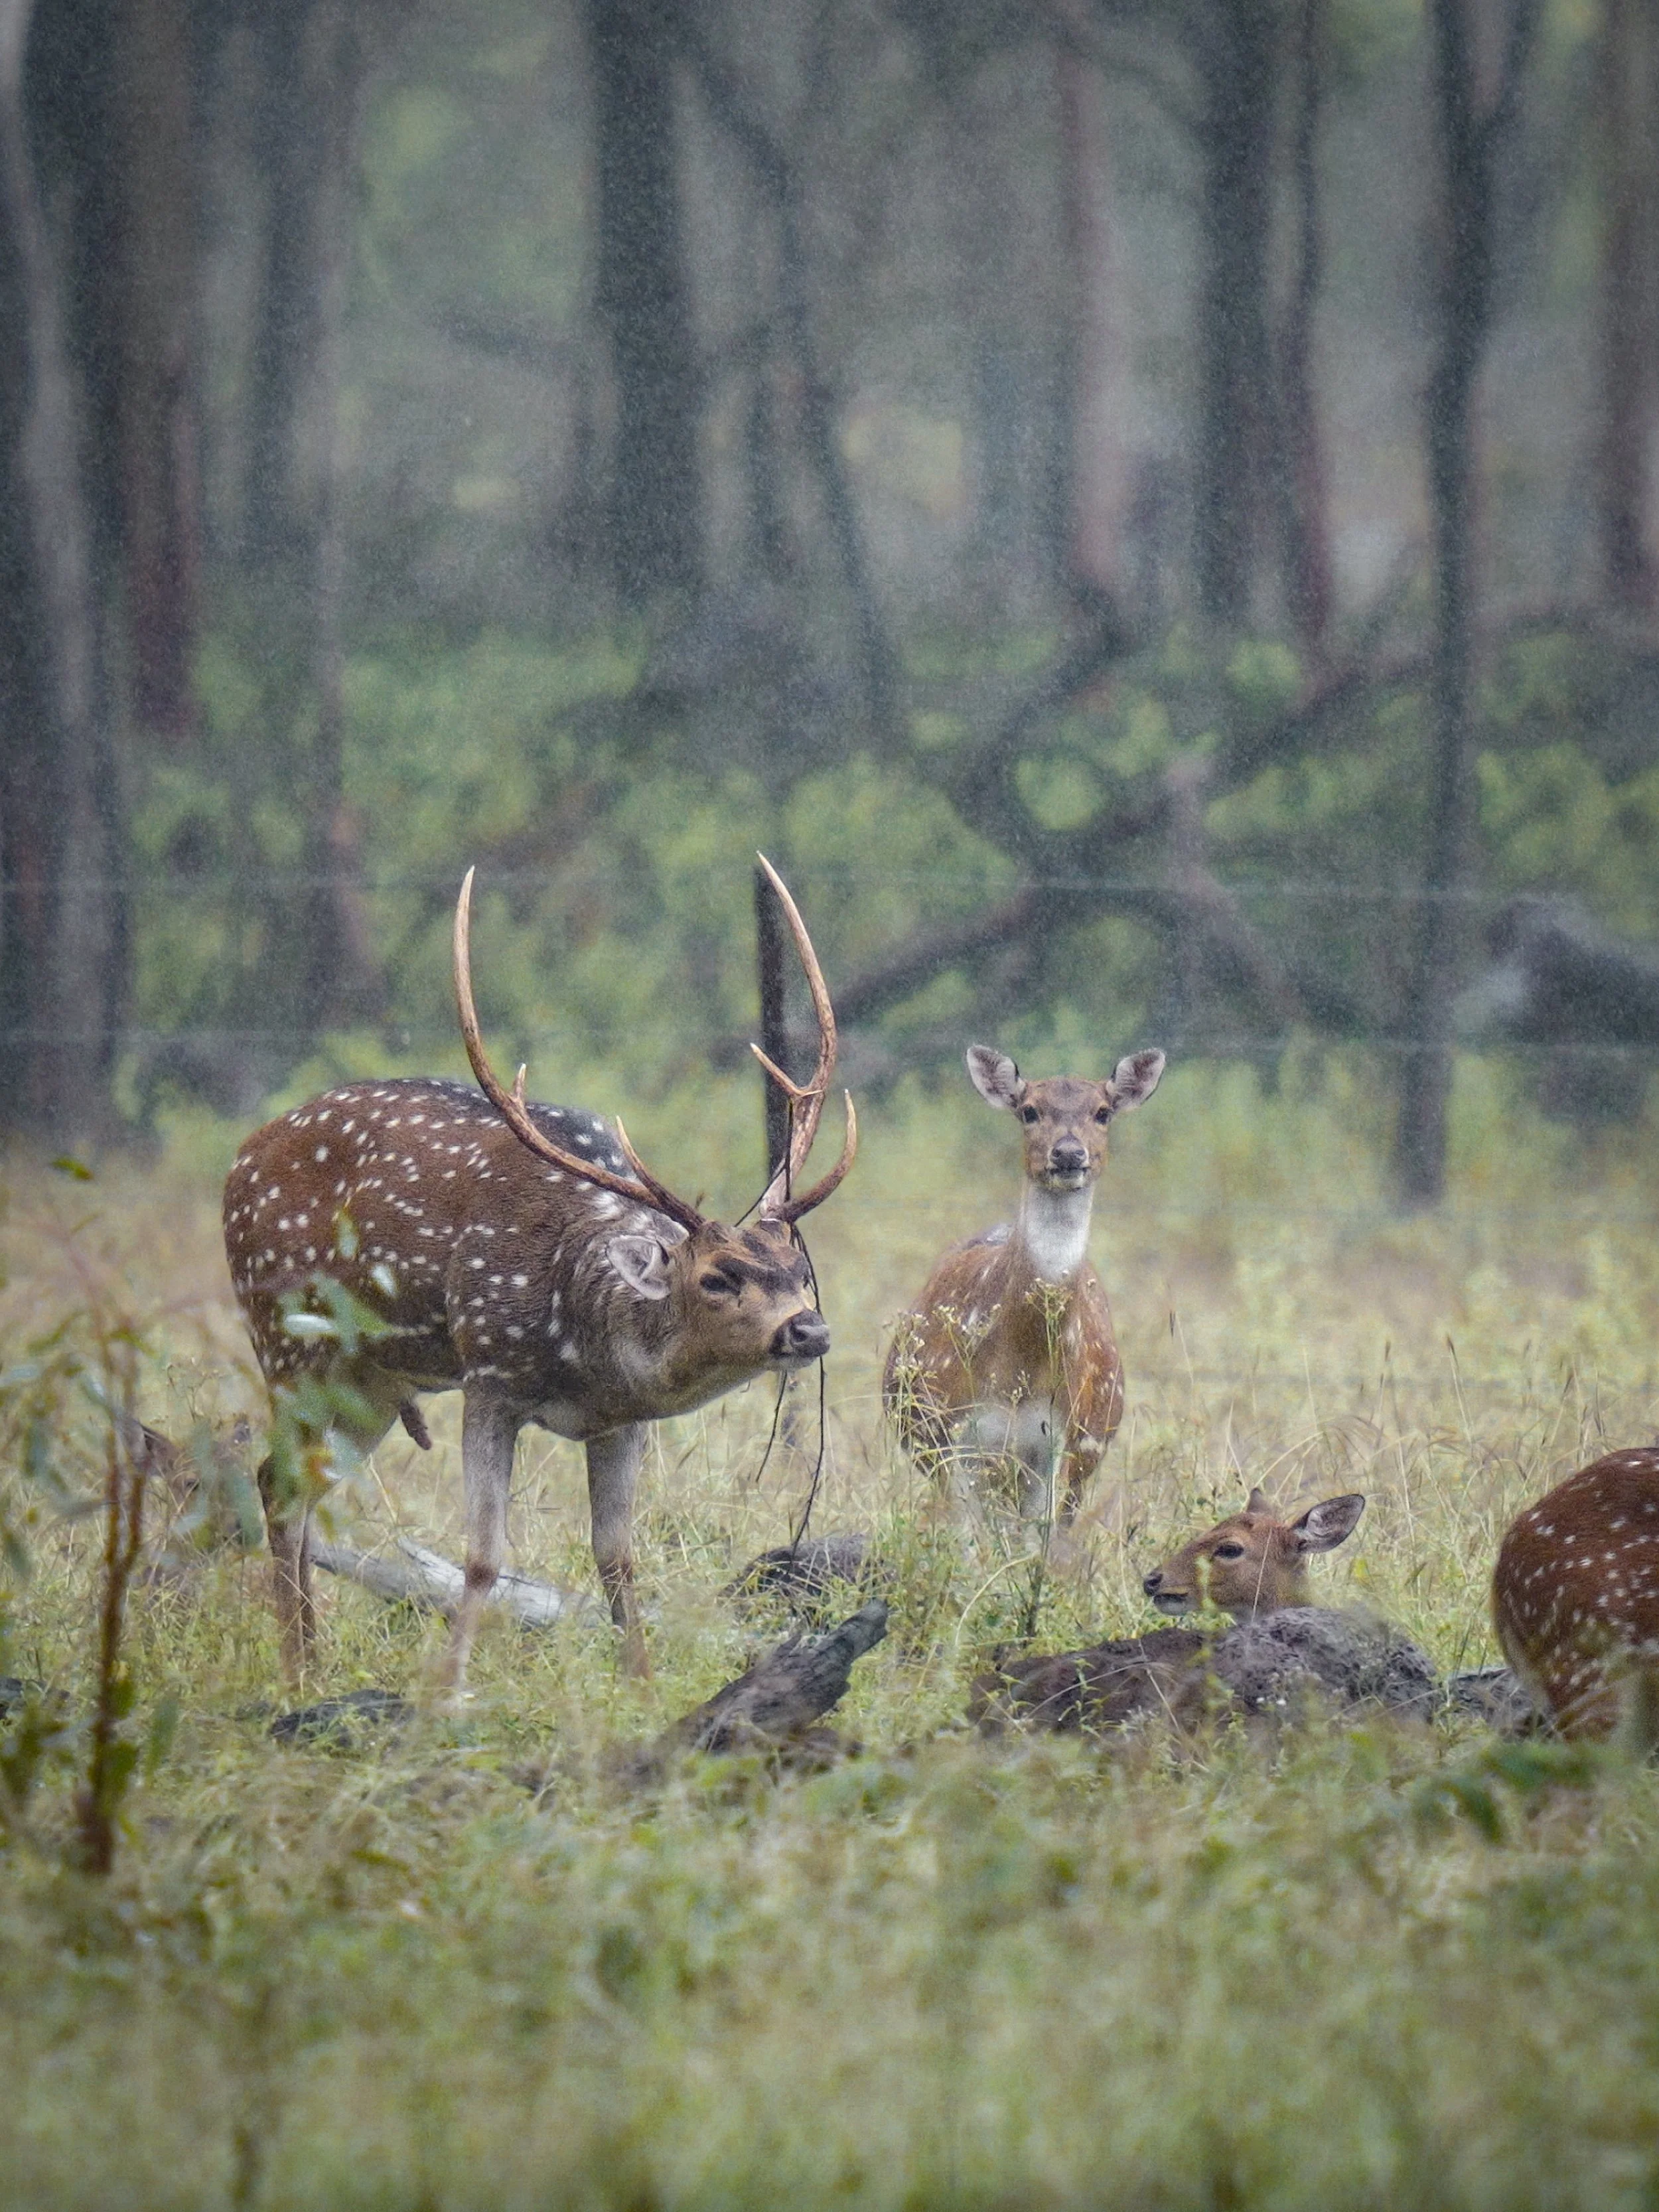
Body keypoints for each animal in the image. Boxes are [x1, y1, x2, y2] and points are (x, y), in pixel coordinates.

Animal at [223, 859, 855, 1690]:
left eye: (797, 1270)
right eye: (718, 1277)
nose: (808, 1329)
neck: (584, 1349)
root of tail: (236, 1163)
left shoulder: (622, 1424)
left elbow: (616, 1555)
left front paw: (640, 1682)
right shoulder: (489, 1375)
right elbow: (483, 1557)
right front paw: (447, 1691)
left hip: (371, 1385)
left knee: (286, 1484)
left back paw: (313, 1662)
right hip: (286, 1344)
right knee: (278, 1486)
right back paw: (298, 1672)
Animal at [882, 1043, 1164, 1525]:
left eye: (1103, 1112)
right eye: (1029, 1110)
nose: (1068, 1153)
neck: (1019, 1372)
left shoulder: (1059, 1440)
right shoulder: (955, 1434)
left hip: (1085, 1456)